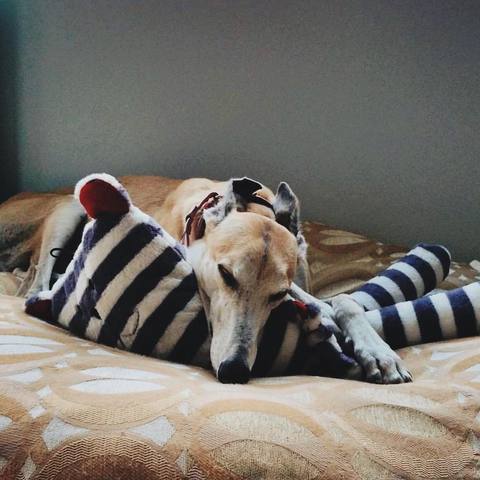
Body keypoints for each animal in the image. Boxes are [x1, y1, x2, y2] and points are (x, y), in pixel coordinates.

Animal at [0, 174, 410, 384]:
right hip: (65, 210)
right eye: (225, 274)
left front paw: (378, 352)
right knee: (33, 281)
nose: (234, 371)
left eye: (276, 295)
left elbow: (341, 300)